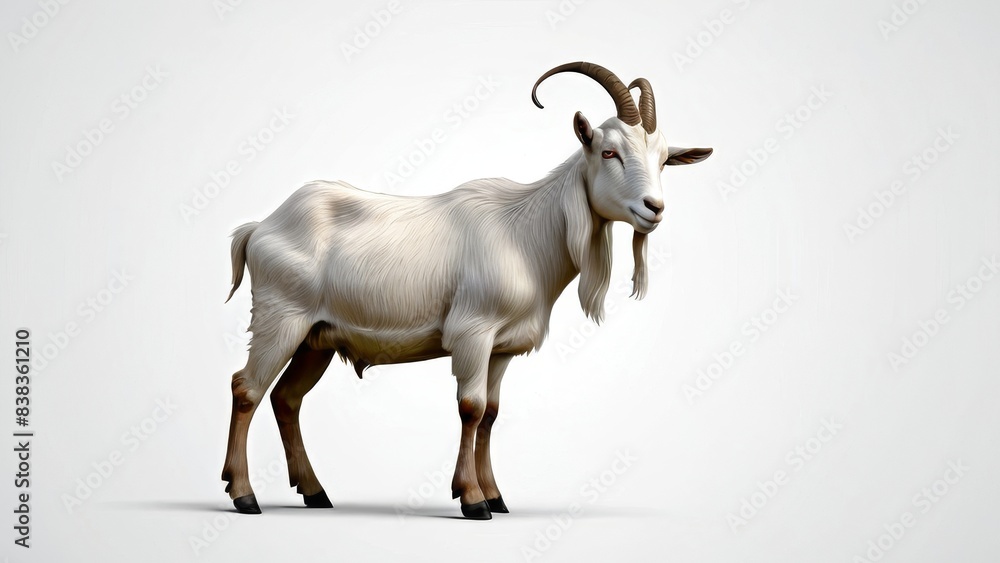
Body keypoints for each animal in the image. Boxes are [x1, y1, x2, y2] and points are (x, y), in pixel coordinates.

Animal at [221, 62, 712, 519]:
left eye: (664, 160)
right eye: (609, 151)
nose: (654, 208)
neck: (525, 234)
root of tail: (259, 228)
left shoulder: (502, 348)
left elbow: (492, 413)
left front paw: (495, 495)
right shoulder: (473, 333)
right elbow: (471, 408)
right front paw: (472, 500)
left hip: (316, 337)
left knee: (286, 398)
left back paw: (315, 492)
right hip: (281, 318)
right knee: (246, 388)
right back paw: (244, 495)